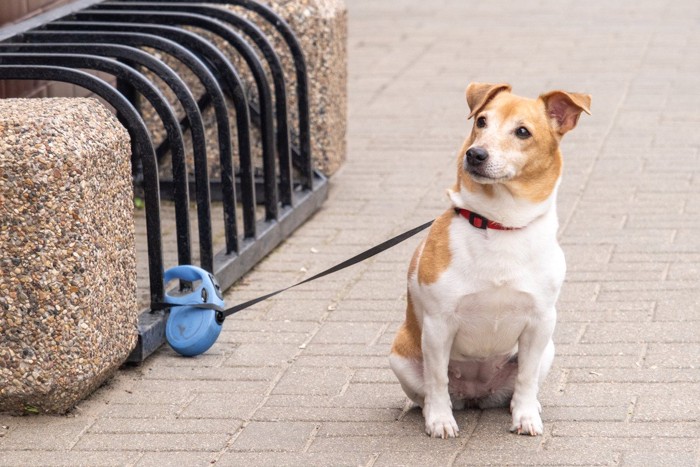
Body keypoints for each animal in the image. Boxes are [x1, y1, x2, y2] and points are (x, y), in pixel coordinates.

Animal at [388, 83, 592, 438]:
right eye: (481, 121)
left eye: (522, 132)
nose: (475, 154)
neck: (499, 224)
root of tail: (475, 394)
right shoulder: (438, 325)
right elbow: (437, 379)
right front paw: (440, 420)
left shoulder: (541, 322)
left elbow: (526, 379)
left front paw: (525, 417)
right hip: (401, 357)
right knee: (429, 389)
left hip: (548, 349)